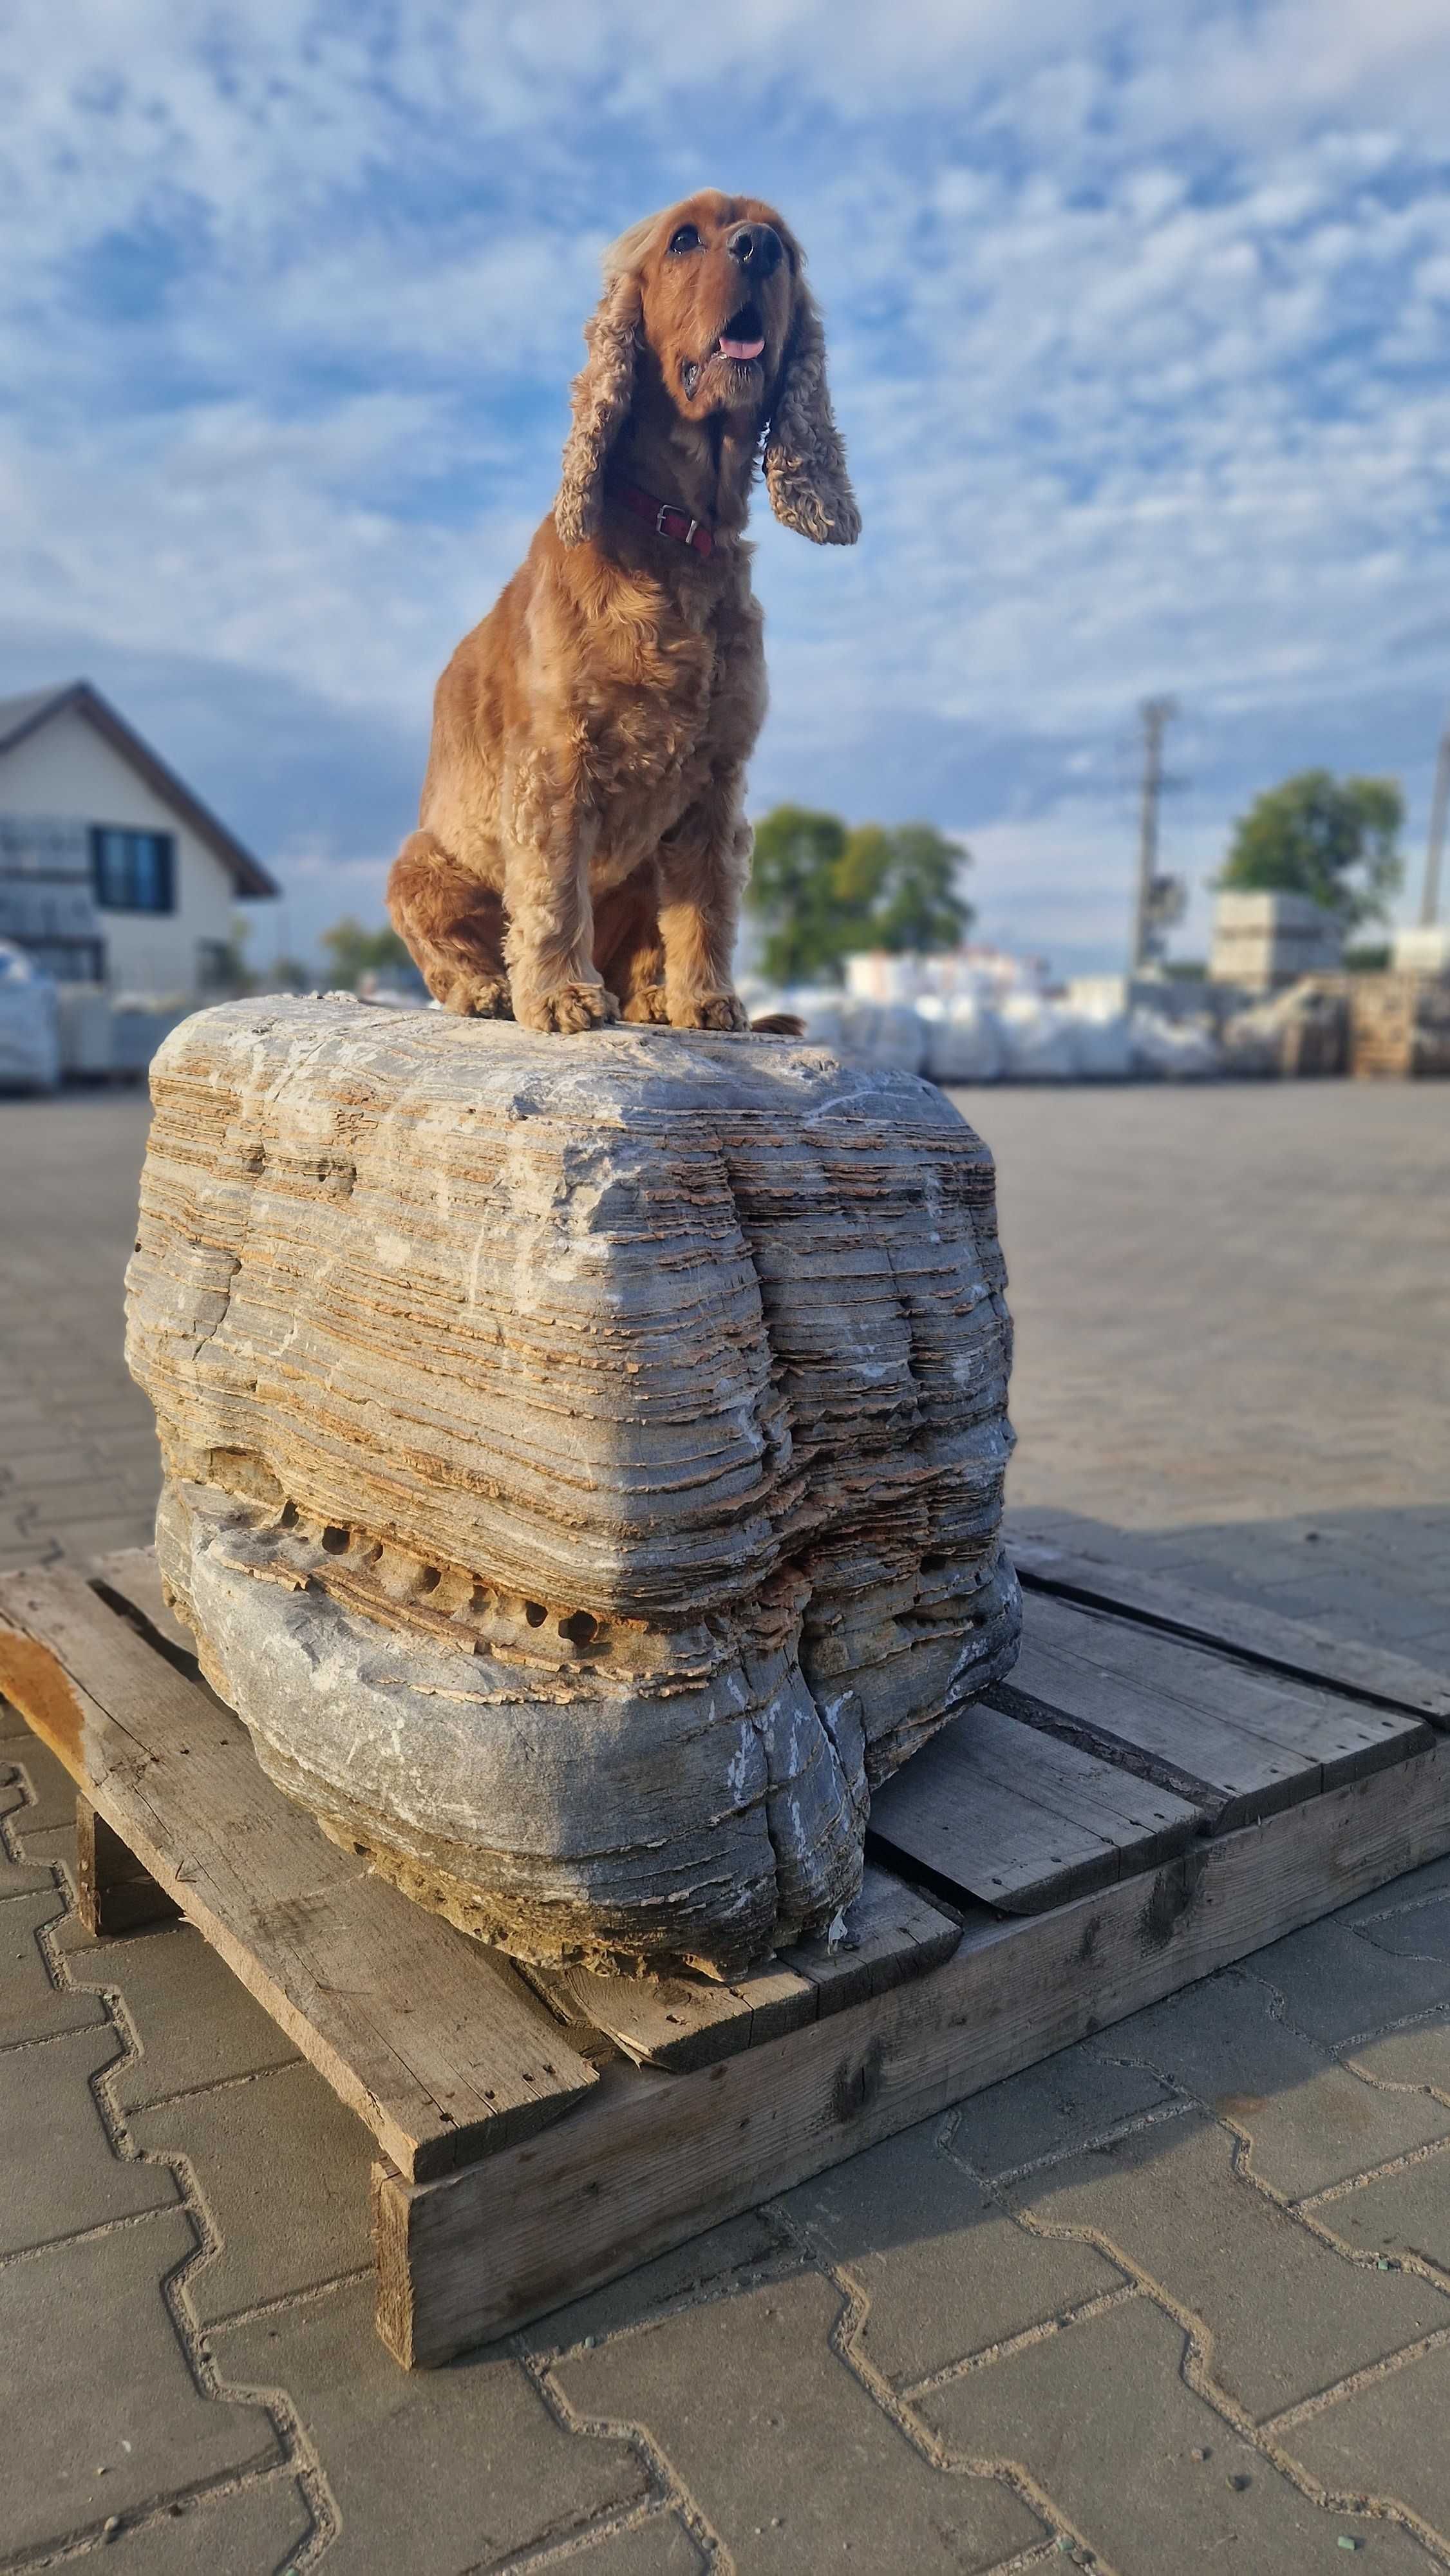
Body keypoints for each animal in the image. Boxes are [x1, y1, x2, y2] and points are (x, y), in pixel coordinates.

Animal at [389, 188, 860, 1025]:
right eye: (684, 240)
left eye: (785, 244)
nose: (759, 248)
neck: (680, 537)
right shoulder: (554, 760)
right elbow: (552, 890)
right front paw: (560, 998)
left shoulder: (717, 777)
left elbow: (705, 901)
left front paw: (707, 1001)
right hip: (417, 865)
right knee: (446, 951)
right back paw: (487, 991)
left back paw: (649, 1000)